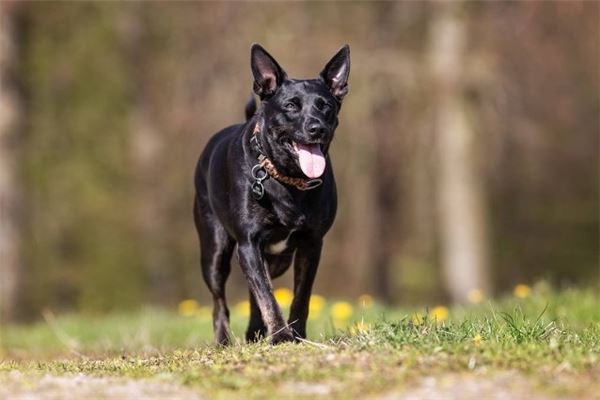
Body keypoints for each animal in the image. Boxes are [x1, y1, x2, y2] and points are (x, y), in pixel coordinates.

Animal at [192, 43, 352, 344]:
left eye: (325, 106)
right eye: (290, 106)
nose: (317, 128)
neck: (287, 178)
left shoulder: (312, 243)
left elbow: (300, 296)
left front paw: (296, 334)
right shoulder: (248, 243)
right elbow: (267, 295)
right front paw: (280, 336)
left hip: (278, 259)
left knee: (255, 288)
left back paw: (254, 332)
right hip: (214, 250)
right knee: (220, 301)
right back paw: (223, 341)